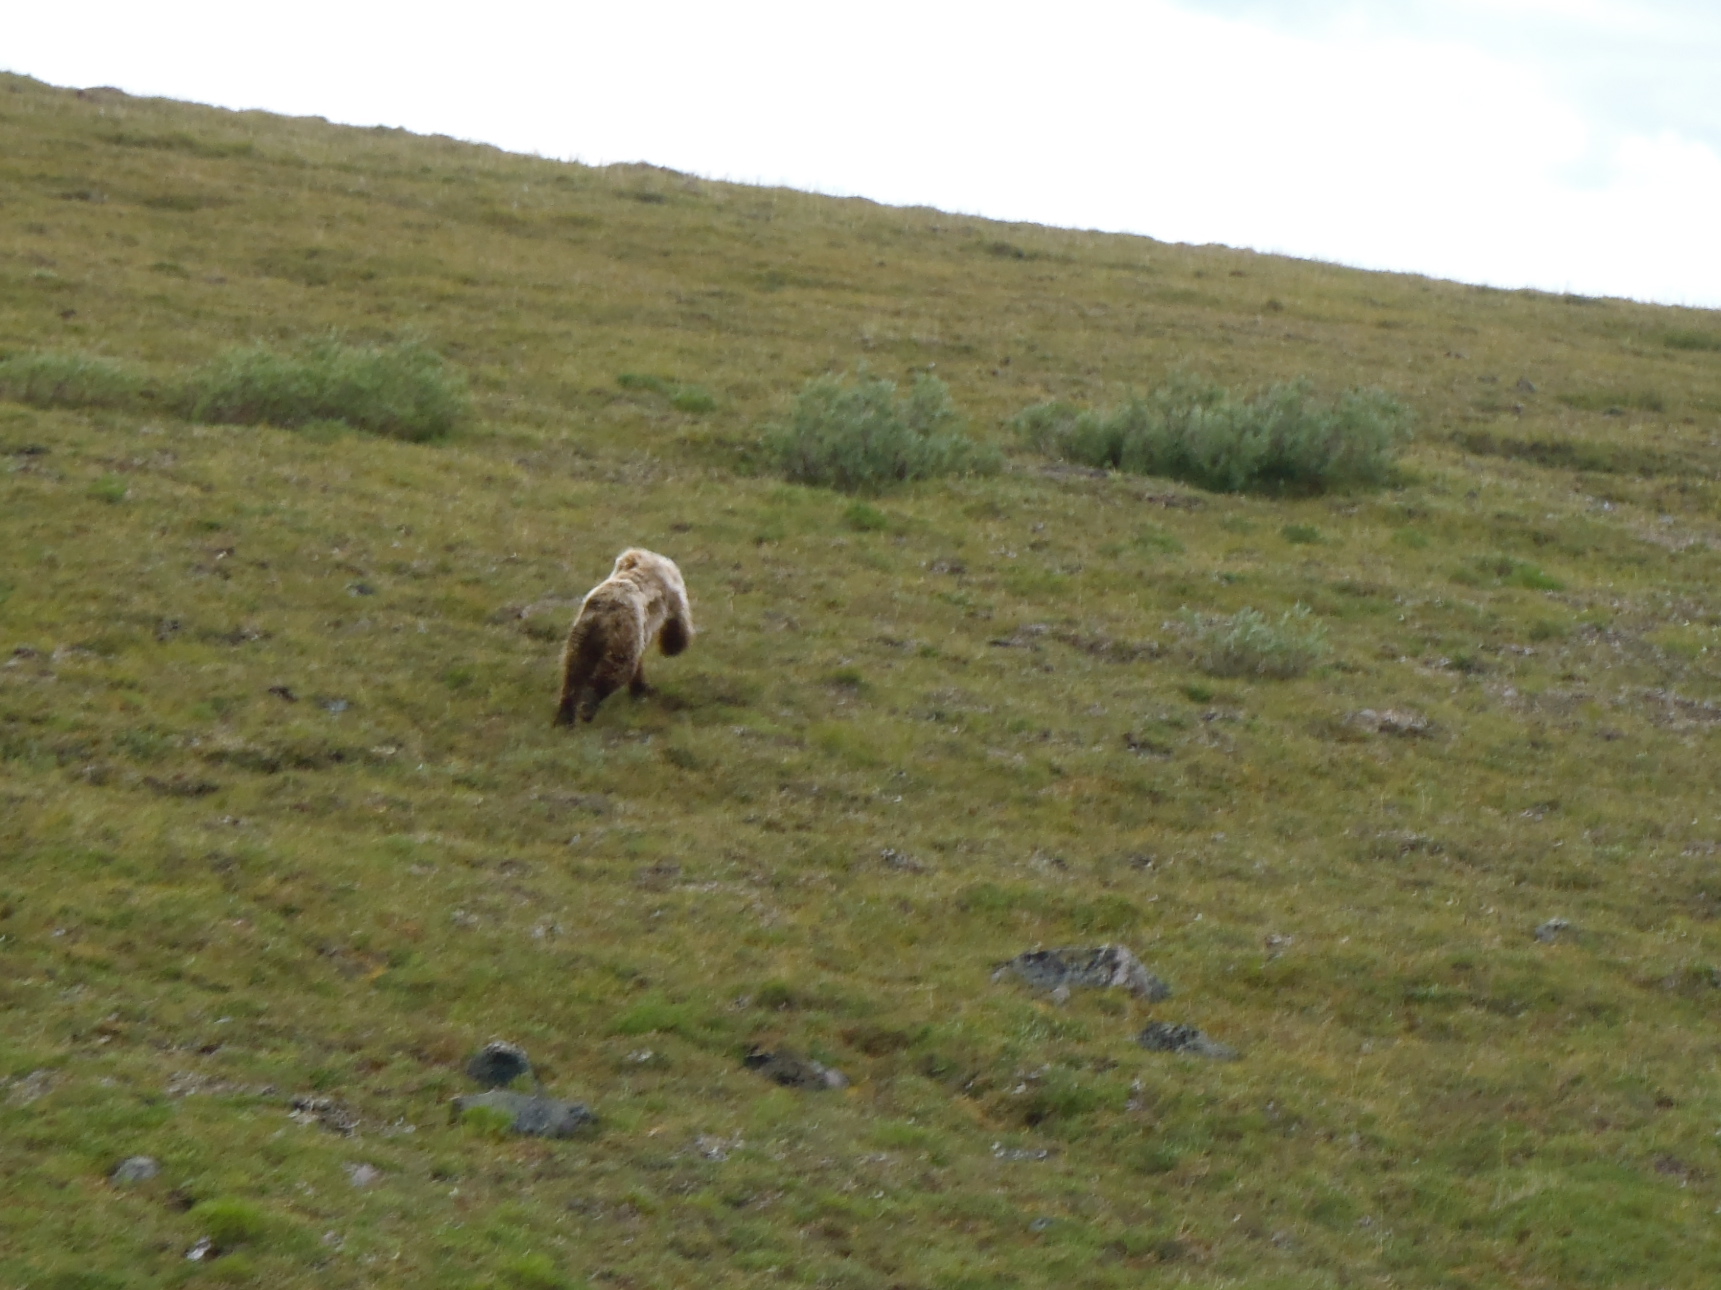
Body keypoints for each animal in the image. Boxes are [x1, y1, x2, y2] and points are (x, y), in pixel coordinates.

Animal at [553, 548, 693, 726]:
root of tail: (600, 615)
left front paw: (641, 687)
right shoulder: (670, 594)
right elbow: (678, 619)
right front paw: (674, 646)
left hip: (581, 638)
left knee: (573, 673)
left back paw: (565, 717)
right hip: (621, 636)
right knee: (615, 671)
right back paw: (587, 708)